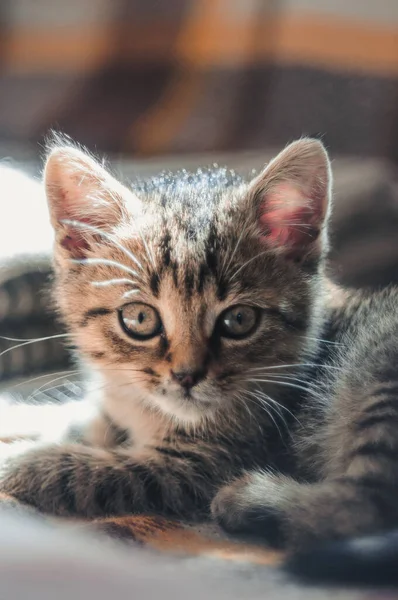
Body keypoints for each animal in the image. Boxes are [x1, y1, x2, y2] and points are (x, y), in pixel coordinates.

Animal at [0, 136, 326, 520]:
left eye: (239, 320)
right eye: (140, 319)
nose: (187, 376)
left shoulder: (195, 470)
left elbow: (83, 472)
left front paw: (15, 461)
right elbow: (74, 416)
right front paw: (15, 413)